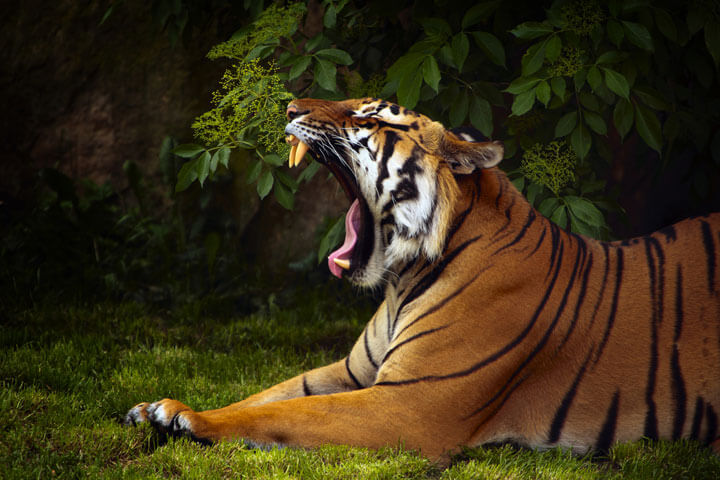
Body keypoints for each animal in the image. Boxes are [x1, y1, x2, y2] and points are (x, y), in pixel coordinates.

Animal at [125, 97, 720, 461]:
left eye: (368, 118)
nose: (289, 107)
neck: (399, 281)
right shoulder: (350, 373)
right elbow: (265, 398)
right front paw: (159, 408)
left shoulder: (407, 404)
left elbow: (286, 413)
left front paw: (188, 420)